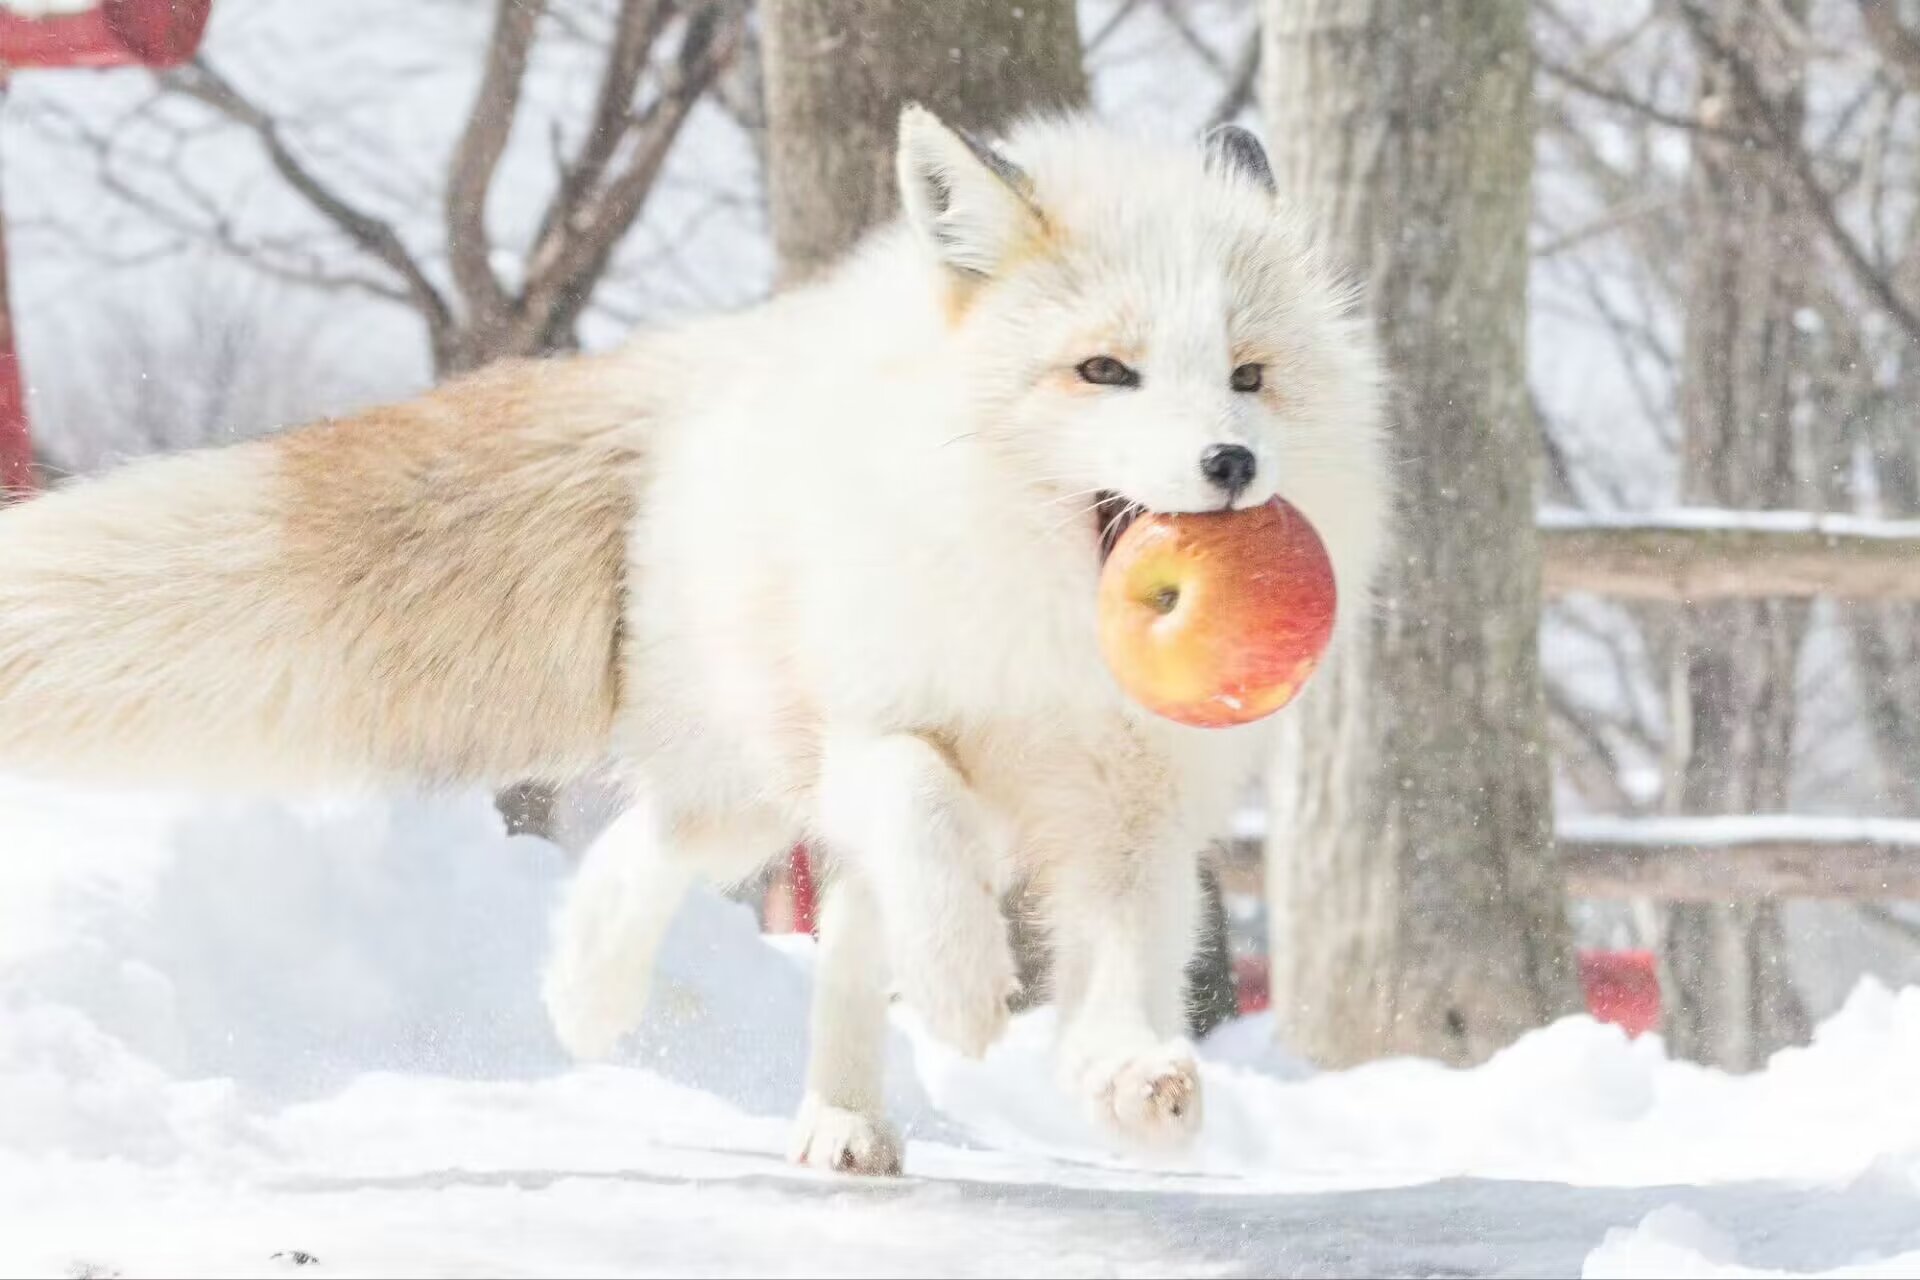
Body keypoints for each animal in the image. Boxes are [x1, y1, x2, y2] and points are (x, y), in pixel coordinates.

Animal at [0, 107, 1390, 1174]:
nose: (1231, 462)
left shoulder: (1137, 817)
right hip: (751, 770)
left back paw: (841, 1115)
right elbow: (925, 814)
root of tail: (730, 353)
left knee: (822, 928)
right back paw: (596, 995)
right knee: (659, 841)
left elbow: (1127, 975)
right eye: (1106, 371)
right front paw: (962, 986)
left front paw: (1131, 1078)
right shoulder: (875, 726)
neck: (1046, 651)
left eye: (1249, 377)